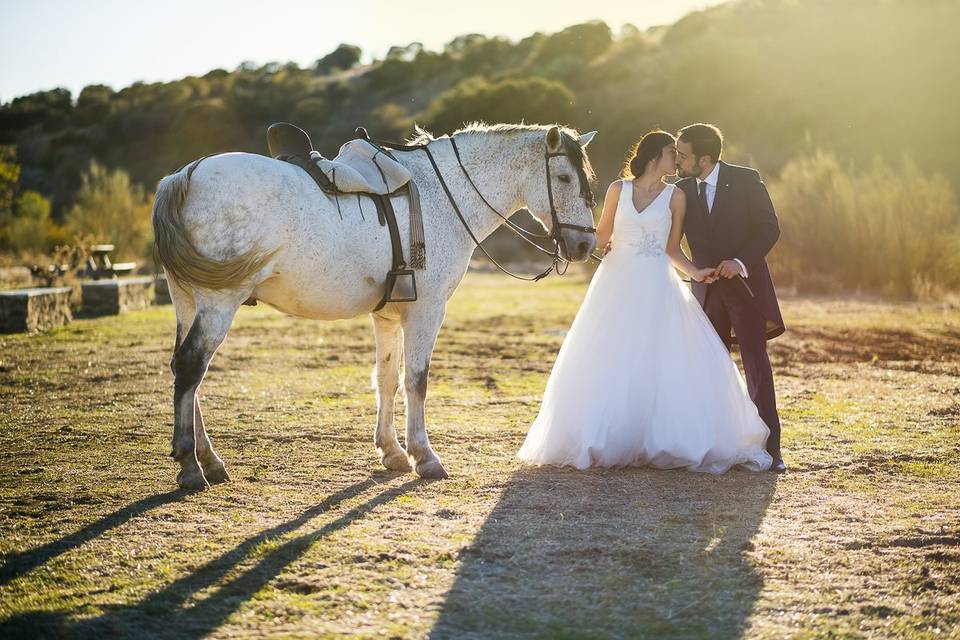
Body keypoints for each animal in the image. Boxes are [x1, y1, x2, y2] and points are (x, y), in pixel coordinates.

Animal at [151, 121, 596, 490]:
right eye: (563, 177)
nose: (585, 244)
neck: (440, 194)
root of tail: (184, 175)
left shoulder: (388, 315)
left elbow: (387, 379)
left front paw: (392, 451)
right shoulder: (426, 310)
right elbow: (416, 380)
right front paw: (424, 456)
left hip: (187, 300)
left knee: (186, 372)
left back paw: (209, 460)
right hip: (218, 303)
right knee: (191, 367)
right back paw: (190, 466)